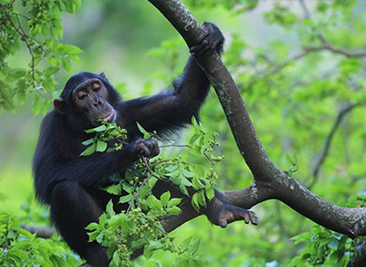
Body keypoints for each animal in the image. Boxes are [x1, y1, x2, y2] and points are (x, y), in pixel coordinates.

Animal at [33, 23, 258, 267]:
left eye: (96, 87)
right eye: (82, 96)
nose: (97, 102)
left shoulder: (128, 114)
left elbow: (181, 102)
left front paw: (211, 36)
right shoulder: (51, 127)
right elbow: (48, 173)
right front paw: (134, 150)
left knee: (166, 173)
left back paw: (222, 209)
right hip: (112, 224)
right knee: (65, 190)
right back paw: (98, 252)